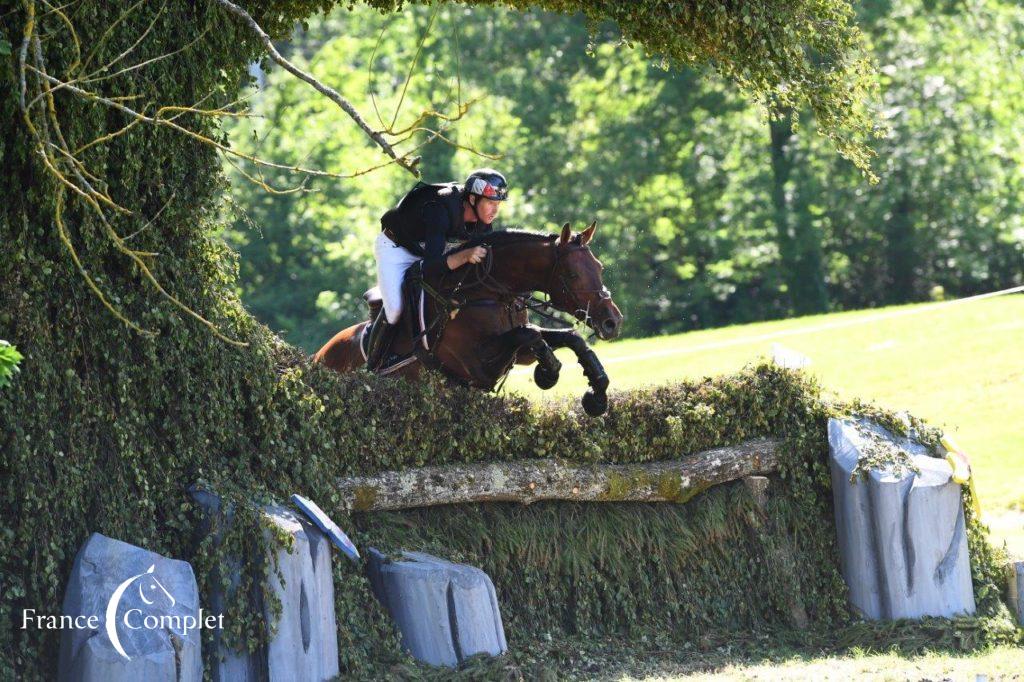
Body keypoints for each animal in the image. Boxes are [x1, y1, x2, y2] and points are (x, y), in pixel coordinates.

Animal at [311, 220, 618, 413]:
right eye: (572, 274)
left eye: (600, 267)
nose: (612, 322)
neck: (488, 292)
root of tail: (317, 356)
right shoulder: (478, 367)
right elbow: (530, 334)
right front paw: (548, 374)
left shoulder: (519, 354)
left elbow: (568, 338)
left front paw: (596, 395)